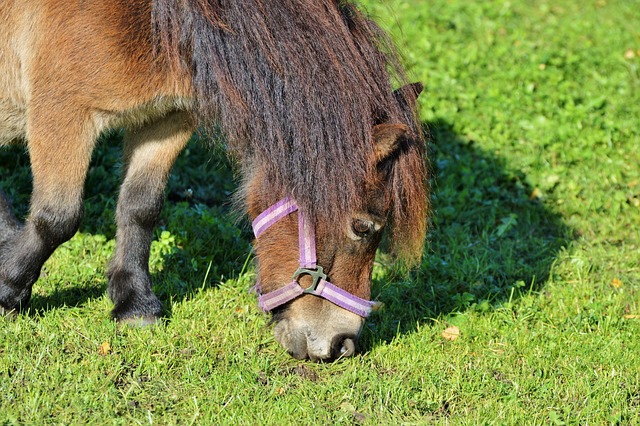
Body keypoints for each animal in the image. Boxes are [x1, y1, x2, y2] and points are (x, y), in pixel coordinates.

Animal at [2, 0, 430, 360]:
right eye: (363, 228)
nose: (343, 344)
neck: (156, 22)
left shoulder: (165, 119)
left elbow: (141, 208)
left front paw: (135, 304)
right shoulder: (63, 112)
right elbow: (58, 218)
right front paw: (9, 290)